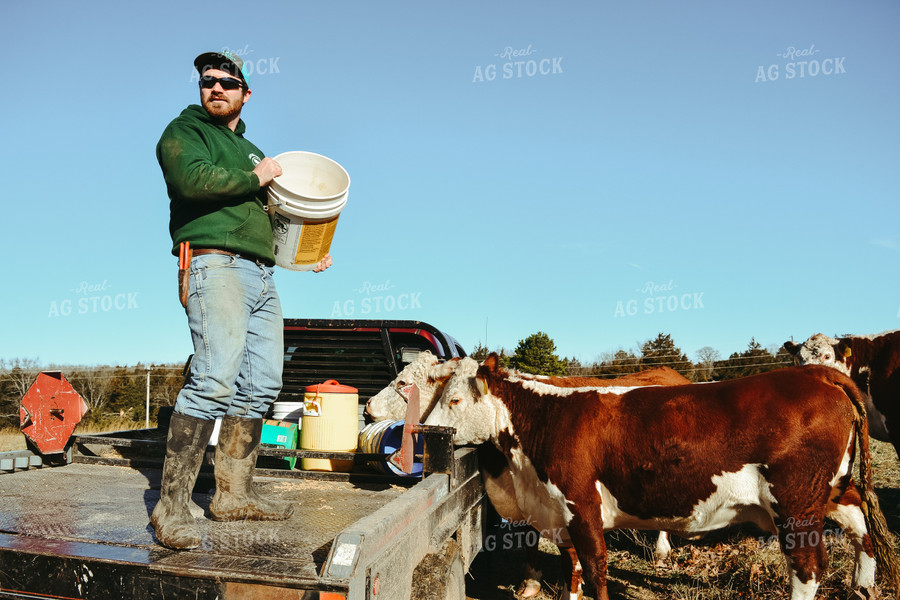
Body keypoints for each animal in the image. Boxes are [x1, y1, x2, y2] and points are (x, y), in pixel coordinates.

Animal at [426, 356, 896, 600]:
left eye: (454, 399)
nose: (426, 432)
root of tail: (814, 373)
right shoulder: (560, 511)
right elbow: (572, 566)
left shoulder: (582, 504)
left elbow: (595, 568)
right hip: (829, 490)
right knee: (860, 521)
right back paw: (863, 586)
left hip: (795, 503)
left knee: (807, 567)